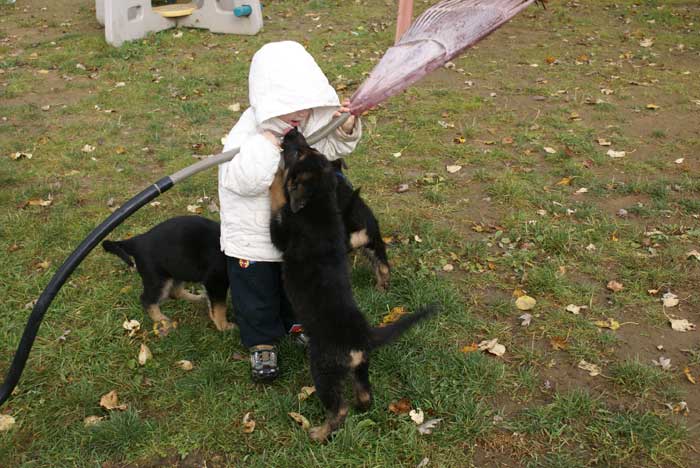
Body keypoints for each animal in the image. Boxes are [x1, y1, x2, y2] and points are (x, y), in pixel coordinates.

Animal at [101, 217, 234, 332]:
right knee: (146, 300)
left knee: (175, 292)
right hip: (158, 279)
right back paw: (163, 320)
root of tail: (137, 241)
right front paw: (224, 327)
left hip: (178, 268)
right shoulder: (216, 280)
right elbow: (220, 307)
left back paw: (198, 298)